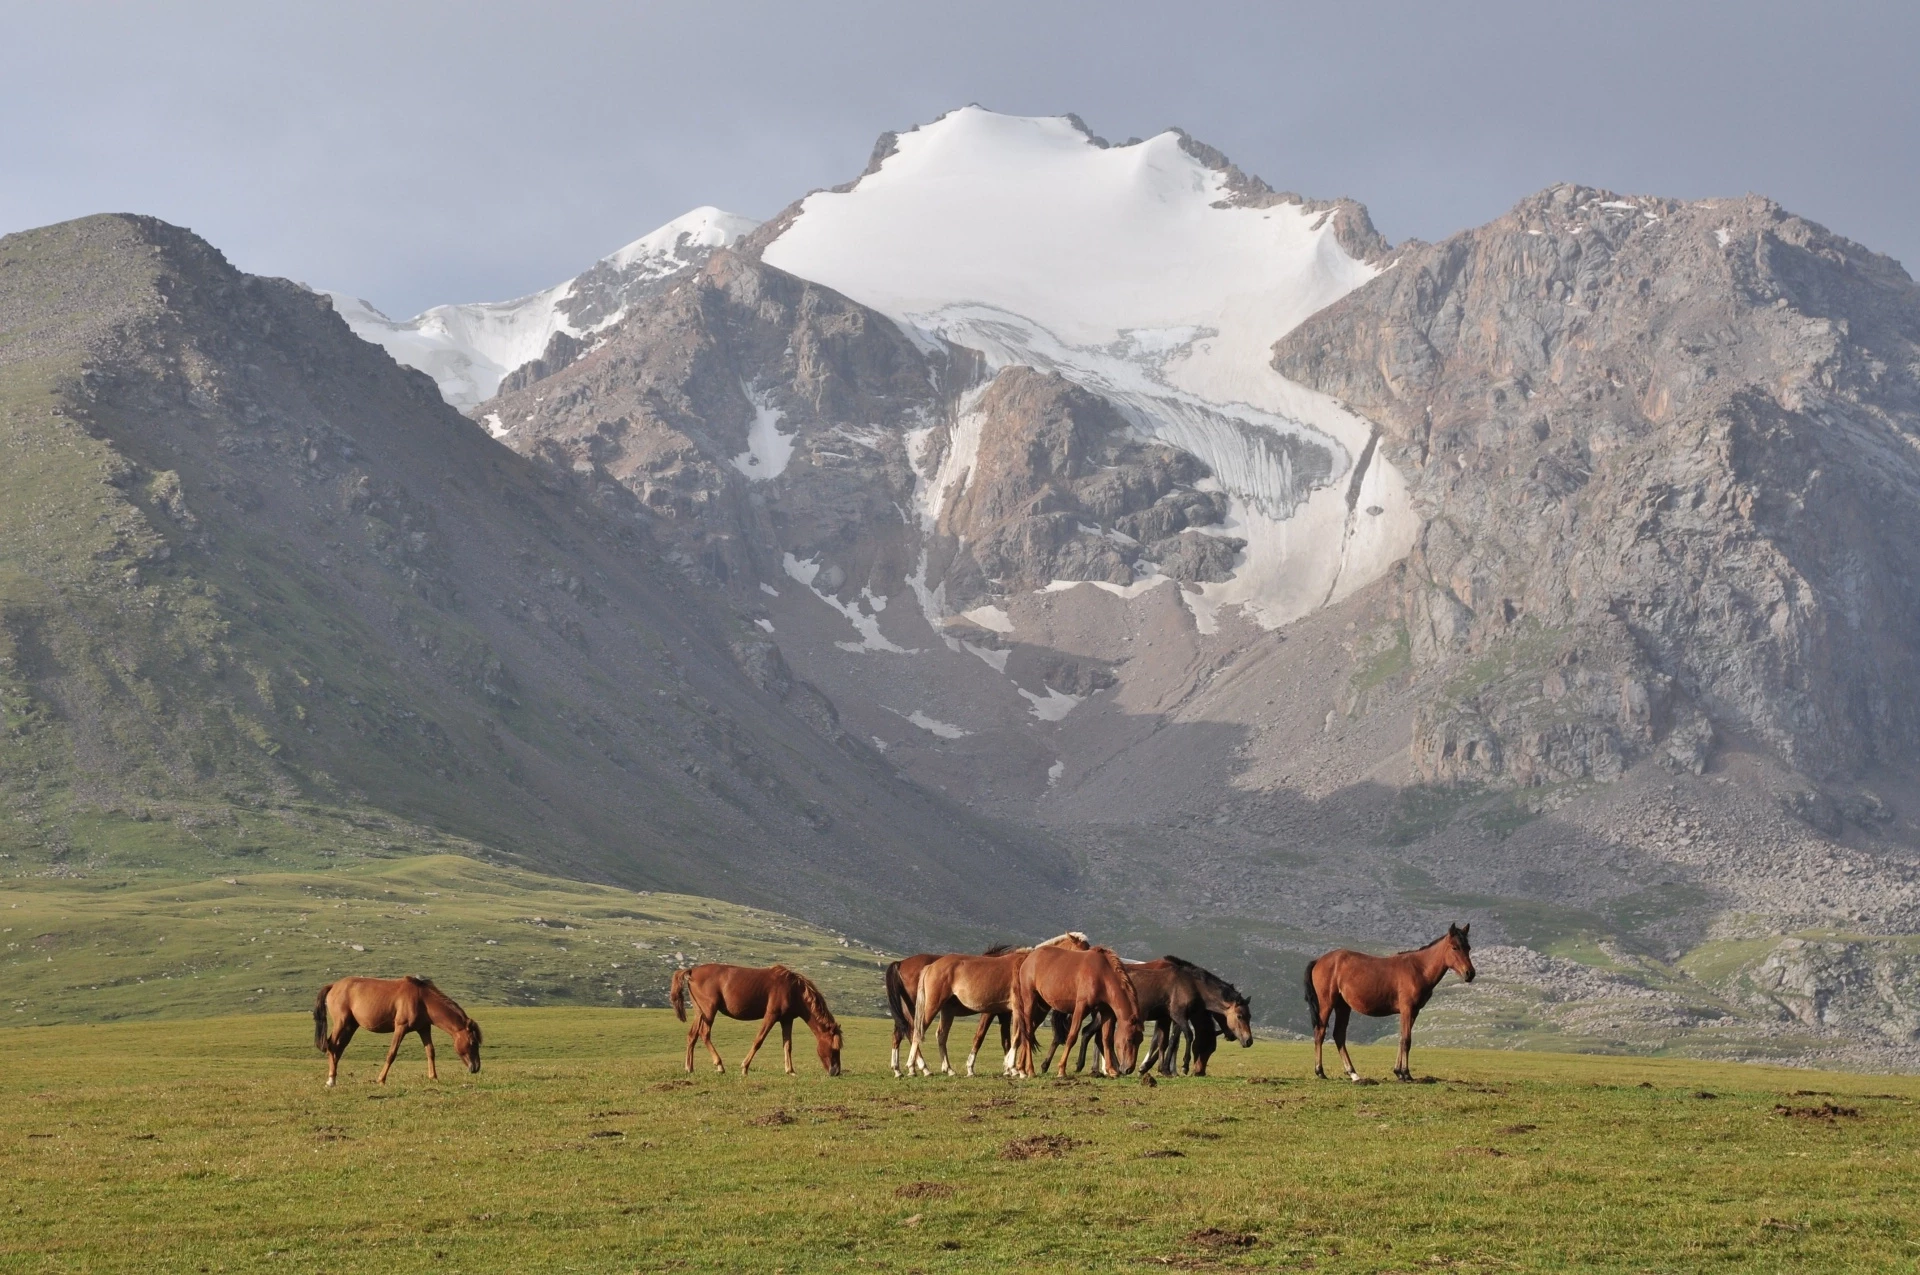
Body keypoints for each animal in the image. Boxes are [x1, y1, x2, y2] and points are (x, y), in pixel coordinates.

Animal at [311, 975, 480, 1082]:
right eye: (473, 1042)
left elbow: (430, 1052)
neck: (422, 998)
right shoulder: (401, 1027)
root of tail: (333, 986)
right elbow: (391, 1054)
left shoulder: (424, 1028)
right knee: (332, 1045)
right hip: (341, 1023)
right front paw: (381, 1079)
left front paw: (434, 1077)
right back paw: (331, 1080)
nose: (476, 1067)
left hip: (350, 1026)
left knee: (338, 1048)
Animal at [668, 967, 840, 1075]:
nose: (836, 1072)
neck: (793, 989)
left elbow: (787, 1045)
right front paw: (744, 1067)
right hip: (709, 1011)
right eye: (834, 1048)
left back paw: (689, 1068)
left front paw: (790, 1070)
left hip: (700, 1013)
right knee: (704, 1034)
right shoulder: (771, 1016)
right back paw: (719, 1066)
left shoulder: (786, 1020)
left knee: (692, 1036)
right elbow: (758, 1041)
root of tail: (692, 971)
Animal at [906, 933, 1090, 1082]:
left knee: (941, 1035)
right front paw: (1015, 1069)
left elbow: (1015, 1038)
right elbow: (1016, 1037)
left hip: (947, 1011)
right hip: (932, 1005)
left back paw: (948, 1069)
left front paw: (1012, 1068)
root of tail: (931, 966)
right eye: (1082, 950)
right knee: (917, 1032)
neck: (1028, 965)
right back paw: (916, 1068)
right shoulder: (1017, 1008)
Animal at [1006, 944, 1136, 1075]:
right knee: (1027, 1032)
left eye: (1139, 1038)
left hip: (1041, 1007)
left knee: (1029, 1033)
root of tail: (1028, 957)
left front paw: (1111, 1070)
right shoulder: (1081, 1007)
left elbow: (1106, 1039)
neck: (1101, 974)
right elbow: (1072, 1037)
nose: (1129, 1069)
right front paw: (1061, 1069)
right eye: (1129, 1039)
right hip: (1030, 1001)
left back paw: (1022, 1069)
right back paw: (1030, 1070)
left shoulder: (1106, 1012)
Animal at [1297, 921, 1474, 1082]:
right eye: (1455, 947)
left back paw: (1353, 1074)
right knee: (1320, 1033)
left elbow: (1402, 1039)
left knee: (1339, 1035)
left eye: (1468, 947)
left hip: (1343, 1006)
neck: (1418, 969)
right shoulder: (1407, 1009)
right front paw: (1406, 1074)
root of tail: (1318, 960)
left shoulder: (1414, 1011)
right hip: (1326, 1004)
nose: (1470, 973)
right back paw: (1320, 1072)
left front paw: (1398, 1072)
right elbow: (1406, 1040)